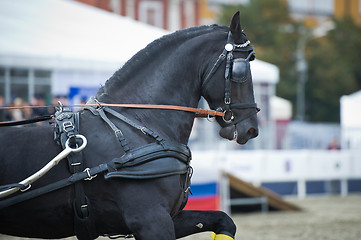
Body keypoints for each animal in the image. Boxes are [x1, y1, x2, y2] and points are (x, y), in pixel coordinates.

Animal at [1, 12, 258, 240]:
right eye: (241, 70)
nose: (252, 128)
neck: (140, 123)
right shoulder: (150, 219)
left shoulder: (169, 217)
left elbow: (225, 220)